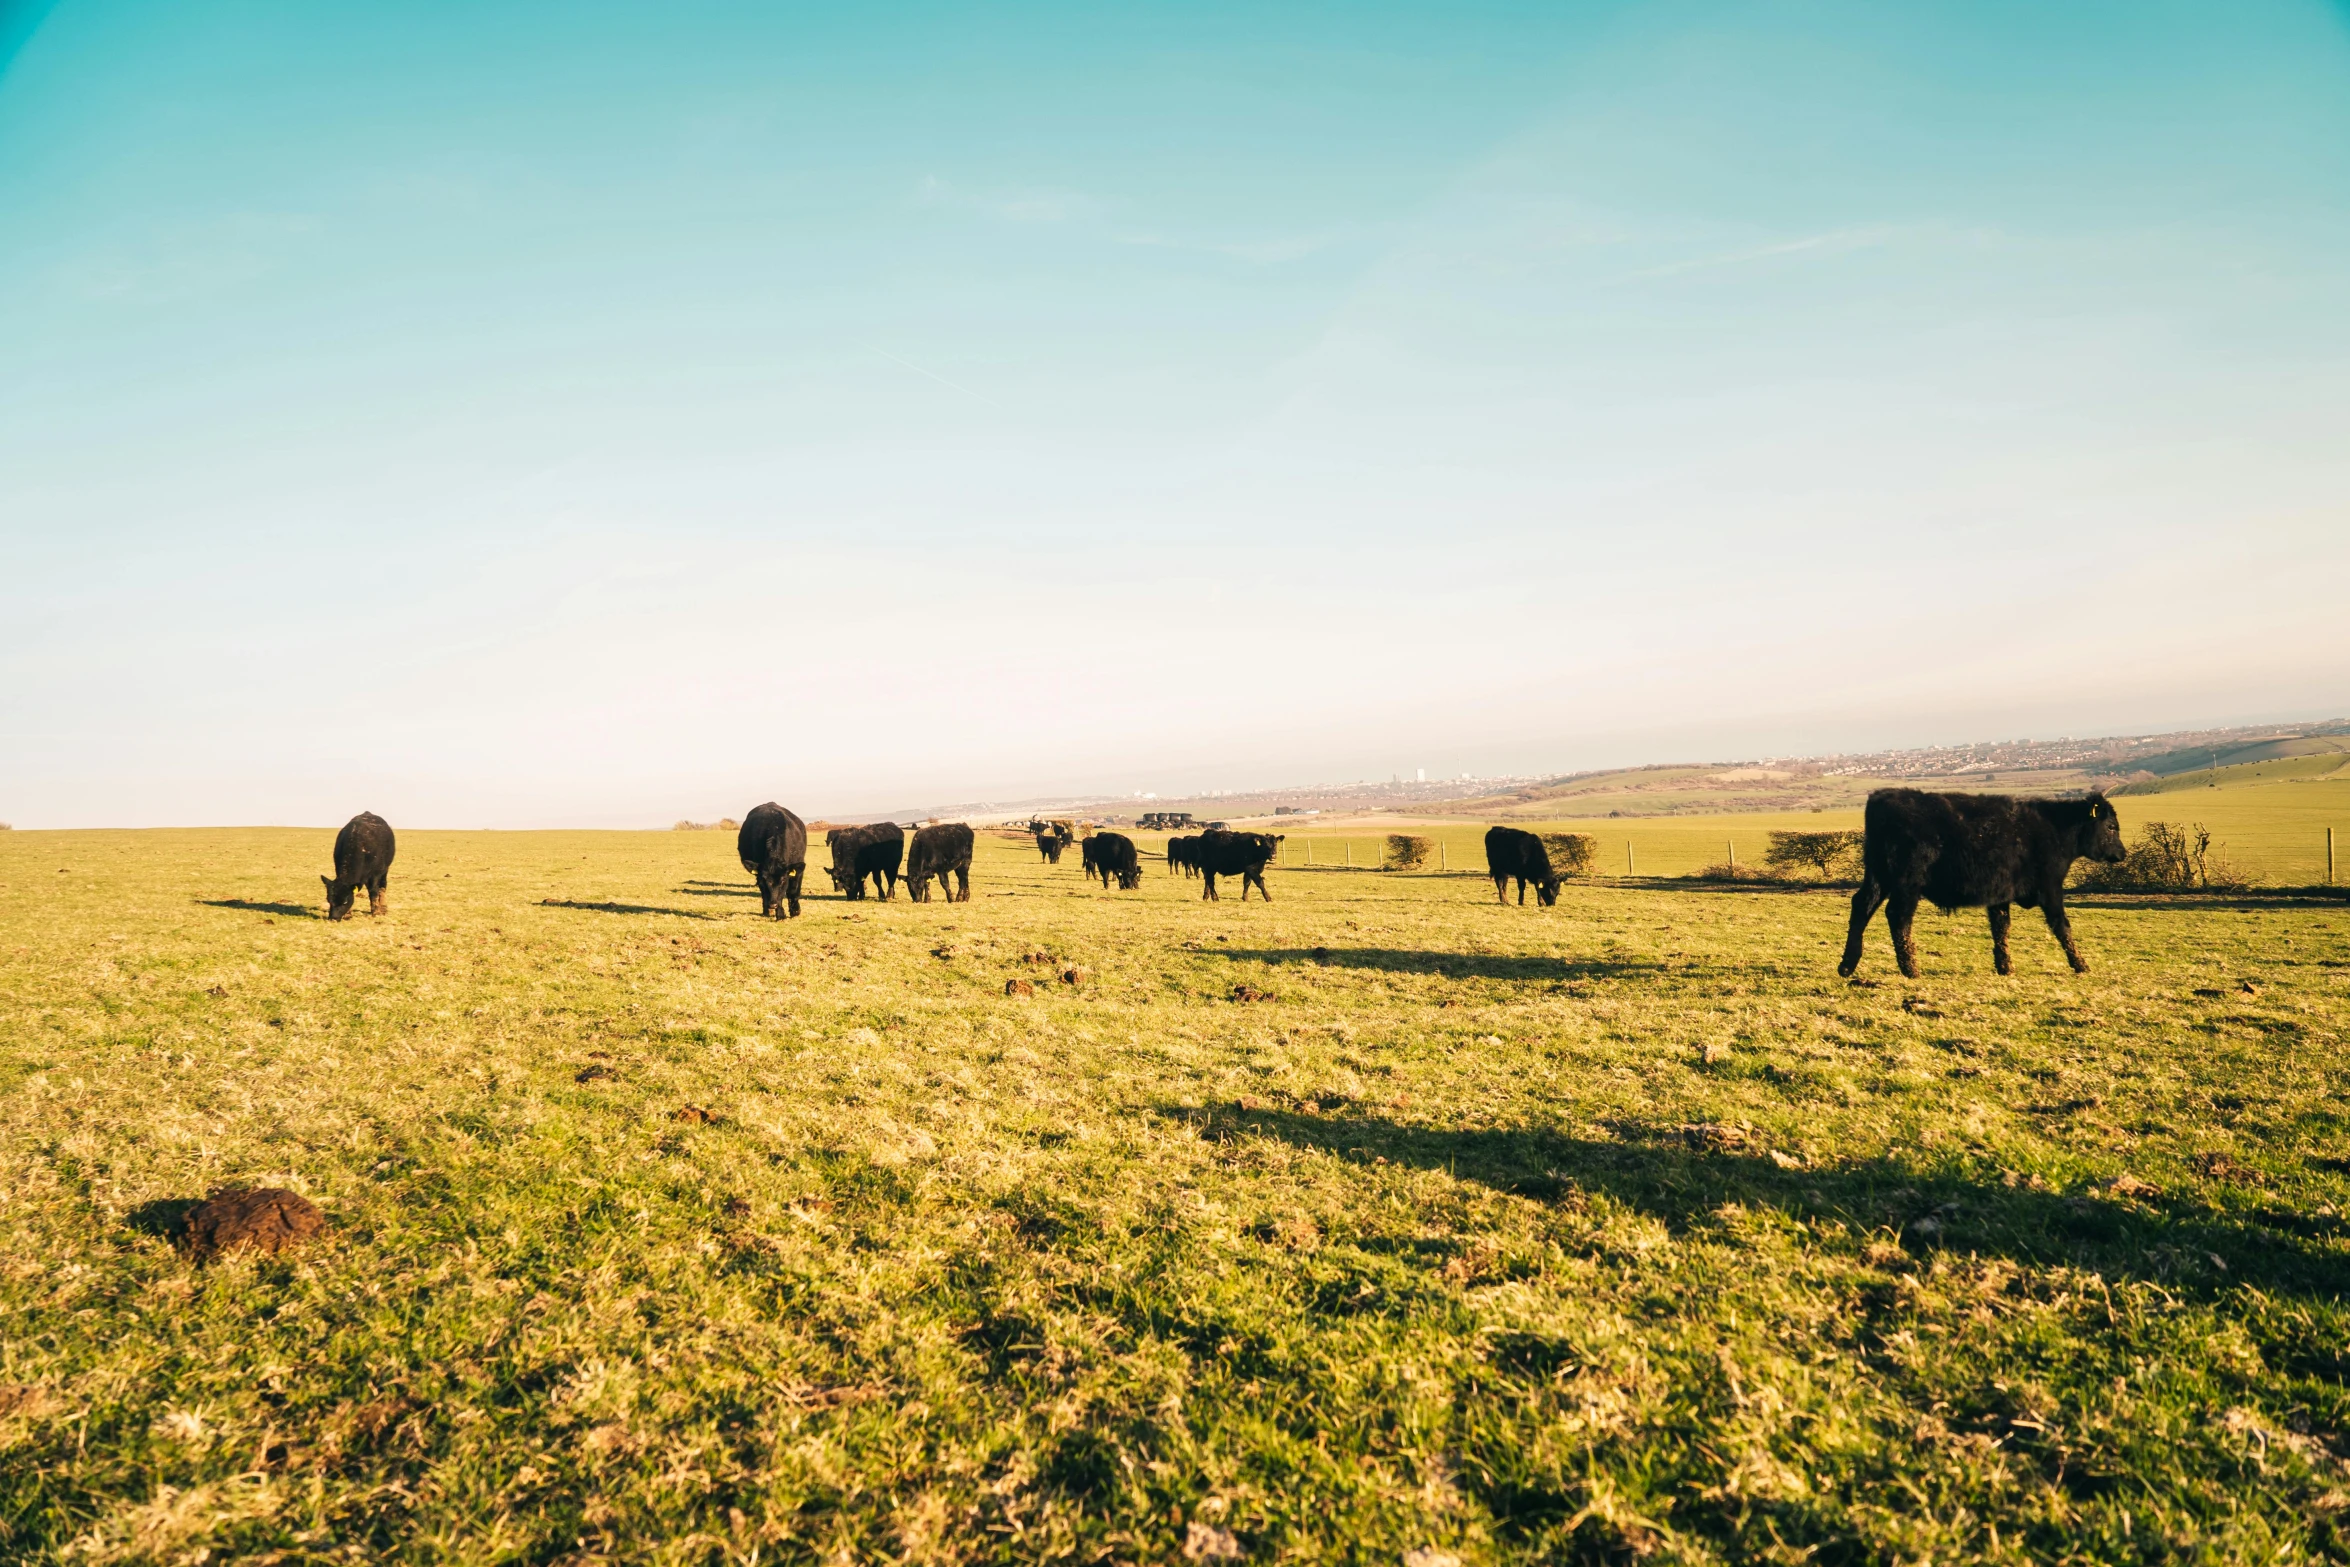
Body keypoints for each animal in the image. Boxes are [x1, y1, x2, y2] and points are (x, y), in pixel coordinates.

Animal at [1832, 789, 2133, 972]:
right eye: (2111, 827)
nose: (2122, 853)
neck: (2056, 829)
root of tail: (1884, 796)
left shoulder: (2001, 893)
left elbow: (2001, 928)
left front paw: (2005, 967)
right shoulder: (2050, 887)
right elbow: (2062, 926)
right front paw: (2081, 964)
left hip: (1877, 875)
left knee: (1862, 906)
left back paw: (1848, 964)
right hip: (1907, 881)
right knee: (1897, 915)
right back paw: (1910, 969)